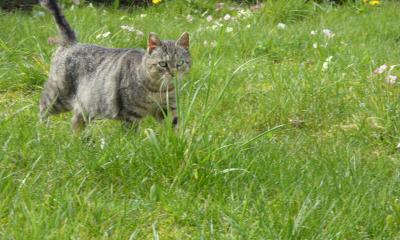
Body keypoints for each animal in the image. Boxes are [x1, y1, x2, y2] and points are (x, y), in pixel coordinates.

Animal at [39, 0, 192, 132]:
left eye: (180, 63)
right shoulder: (131, 115)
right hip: (58, 97)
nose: (173, 73)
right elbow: (132, 137)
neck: (158, 90)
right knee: (42, 107)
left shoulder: (168, 109)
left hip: (85, 104)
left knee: (76, 123)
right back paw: (42, 132)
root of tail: (72, 42)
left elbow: (174, 128)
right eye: (163, 64)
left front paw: (178, 141)